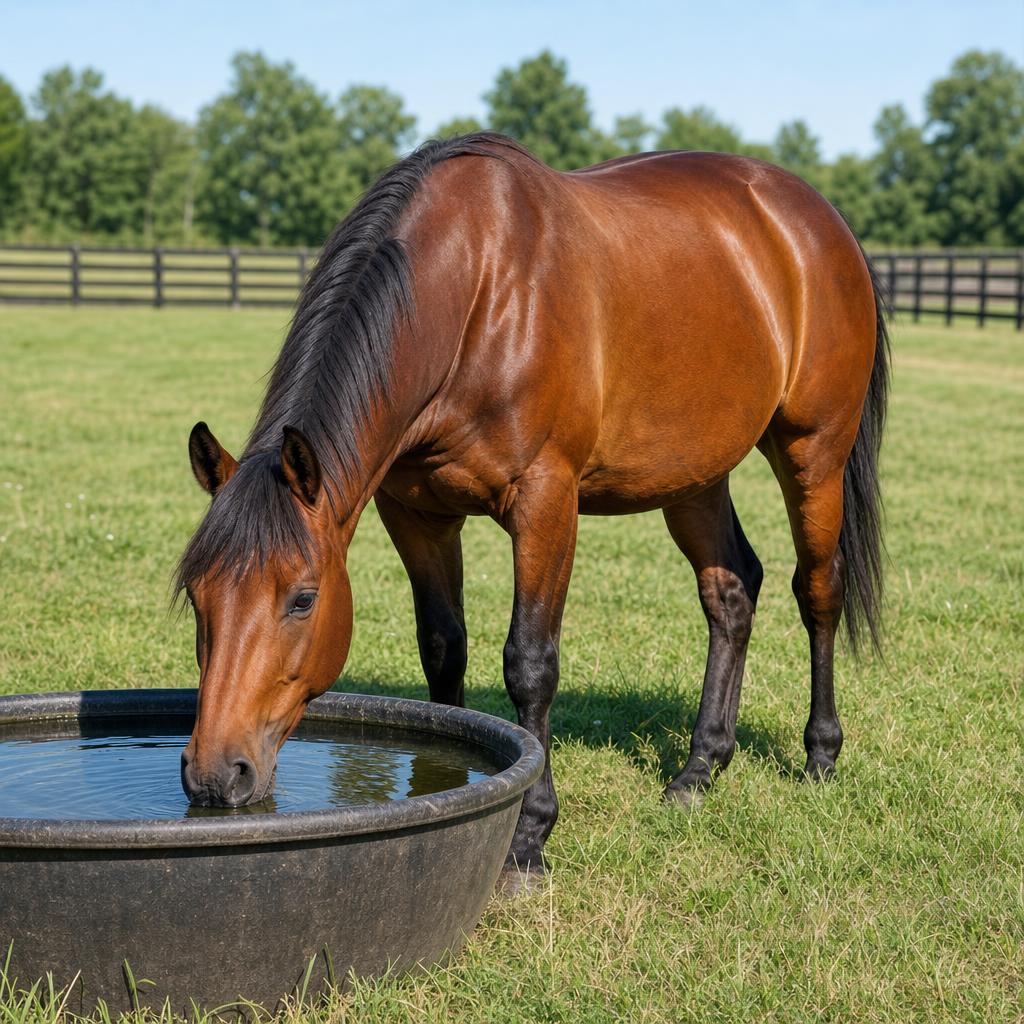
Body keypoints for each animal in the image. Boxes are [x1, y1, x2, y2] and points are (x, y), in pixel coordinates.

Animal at [177, 132, 888, 885]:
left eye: (304, 599)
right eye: (197, 595)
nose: (215, 776)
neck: (474, 295)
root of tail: (815, 217)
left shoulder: (546, 502)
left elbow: (530, 663)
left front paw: (529, 835)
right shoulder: (417, 515)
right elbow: (443, 649)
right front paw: (445, 796)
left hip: (814, 453)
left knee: (818, 589)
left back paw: (820, 754)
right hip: (696, 474)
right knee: (730, 591)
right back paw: (700, 768)